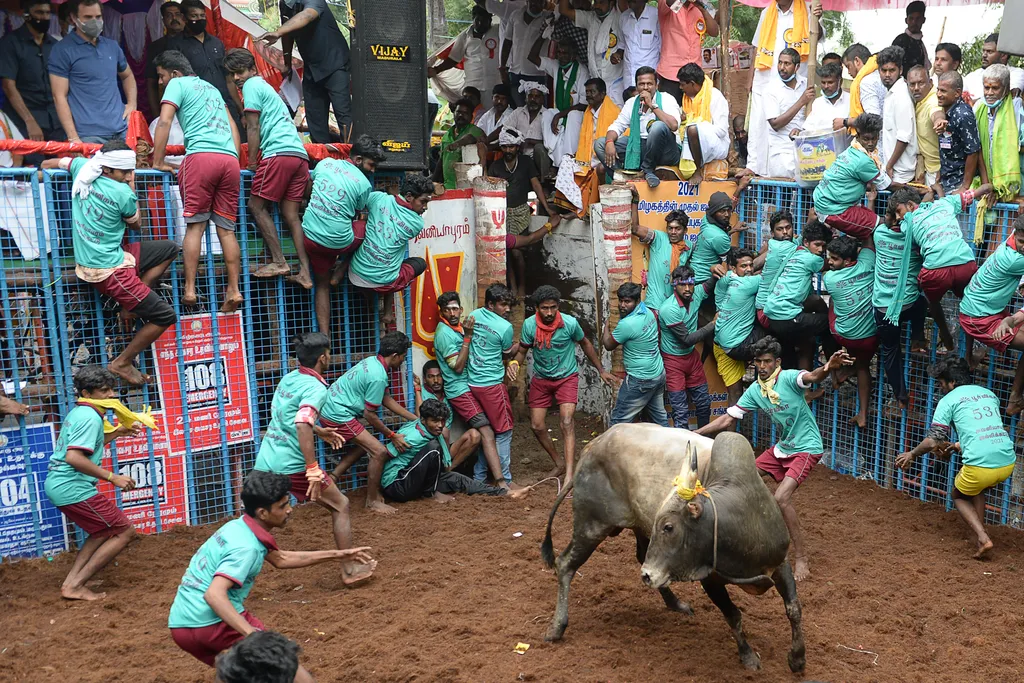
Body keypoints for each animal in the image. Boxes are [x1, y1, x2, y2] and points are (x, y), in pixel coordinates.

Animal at [540, 428, 802, 671]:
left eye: (668, 526)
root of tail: (592, 446)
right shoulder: (710, 580)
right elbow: (734, 616)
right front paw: (748, 656)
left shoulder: (780, 563)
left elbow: (793, 609)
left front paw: (798, 659)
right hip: (591, 527)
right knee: (565, 564)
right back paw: (557, 627)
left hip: (637, 530)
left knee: (641, 559)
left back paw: (675, 603)